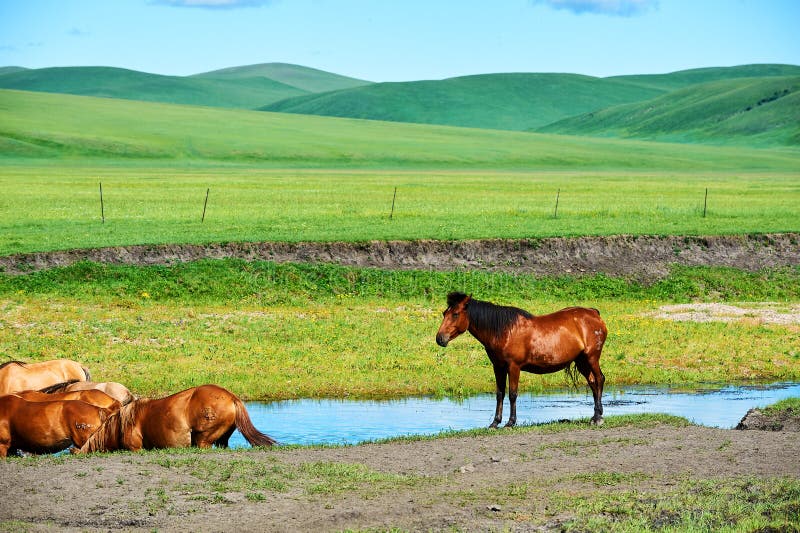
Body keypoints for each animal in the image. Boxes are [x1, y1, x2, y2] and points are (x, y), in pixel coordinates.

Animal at [438, 294, 608, 426]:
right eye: (444, 313)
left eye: (455, 314)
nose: (439, 339)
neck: (504, 331)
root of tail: (594, 313)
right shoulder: (498, 367)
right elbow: (500, 393)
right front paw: (495, 422)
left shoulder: (514, 367)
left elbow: (512, 394)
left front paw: (510, 422)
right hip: (581, 361)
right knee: (593, 382)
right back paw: (595, 416)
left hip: (592, 357)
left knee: (600, 379)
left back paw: (598, 417)